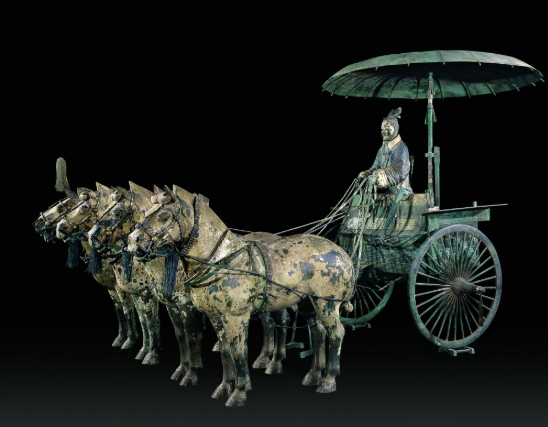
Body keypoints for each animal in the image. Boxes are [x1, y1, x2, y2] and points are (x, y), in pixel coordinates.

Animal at [127, 184, 355, 407]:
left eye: (164, 216)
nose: (133, 241)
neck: (221, 260)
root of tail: (342, 253)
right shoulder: (215, 316)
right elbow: (225, 350)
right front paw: (224, 387)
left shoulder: (236, 317)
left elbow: (238, 351)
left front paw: (239, 392)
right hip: (308, 302)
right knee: (318, 331)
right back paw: (314, 374)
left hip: (327, 304)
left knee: (336, 333)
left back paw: (328, 380)